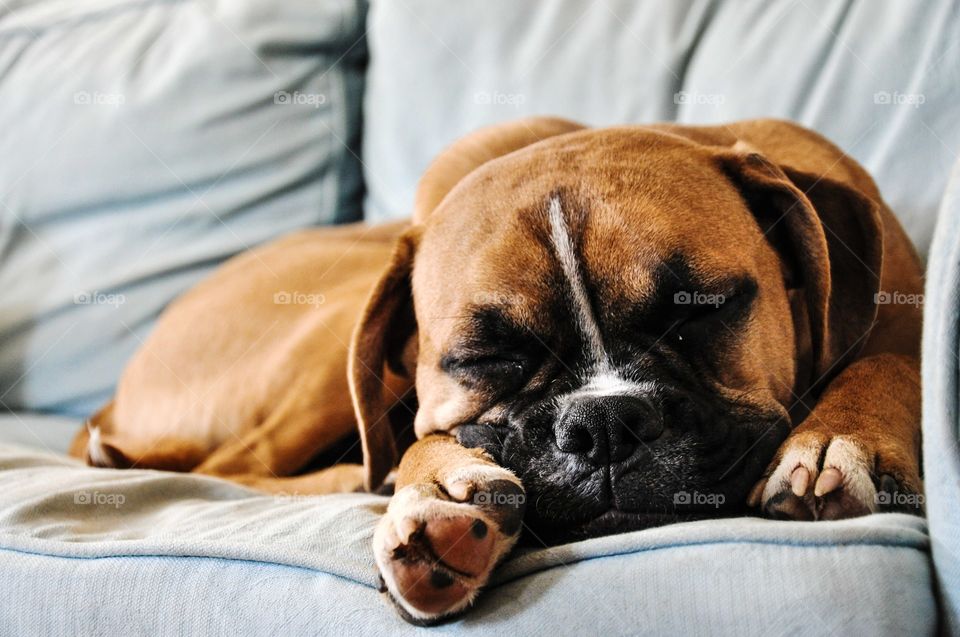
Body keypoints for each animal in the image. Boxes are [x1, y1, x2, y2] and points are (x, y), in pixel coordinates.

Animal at [67, 118, 924, 620]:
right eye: (486, 359)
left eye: (697, 311)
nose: (603, 424)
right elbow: (422, 439)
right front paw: (434, 491)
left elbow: (890, 365)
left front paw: (835, 438)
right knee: (245, 463)